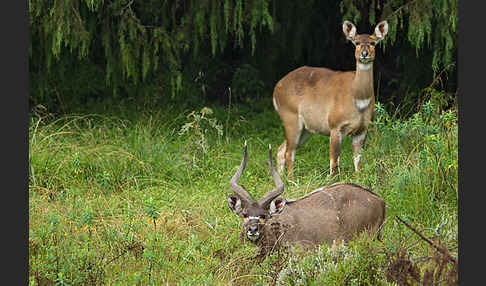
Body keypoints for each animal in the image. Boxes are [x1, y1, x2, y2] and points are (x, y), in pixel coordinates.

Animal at [272, 20, 390, 177]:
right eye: (357, 42)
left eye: (372, 43)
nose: (364, 54)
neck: (358, 101)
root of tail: (276, 89)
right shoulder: (335, 126)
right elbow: (334, 162)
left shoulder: (362, 129)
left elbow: (358, 161)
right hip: (290, 117)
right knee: (289, 152)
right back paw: (291, 180)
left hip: (306, 129)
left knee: (281, 149)